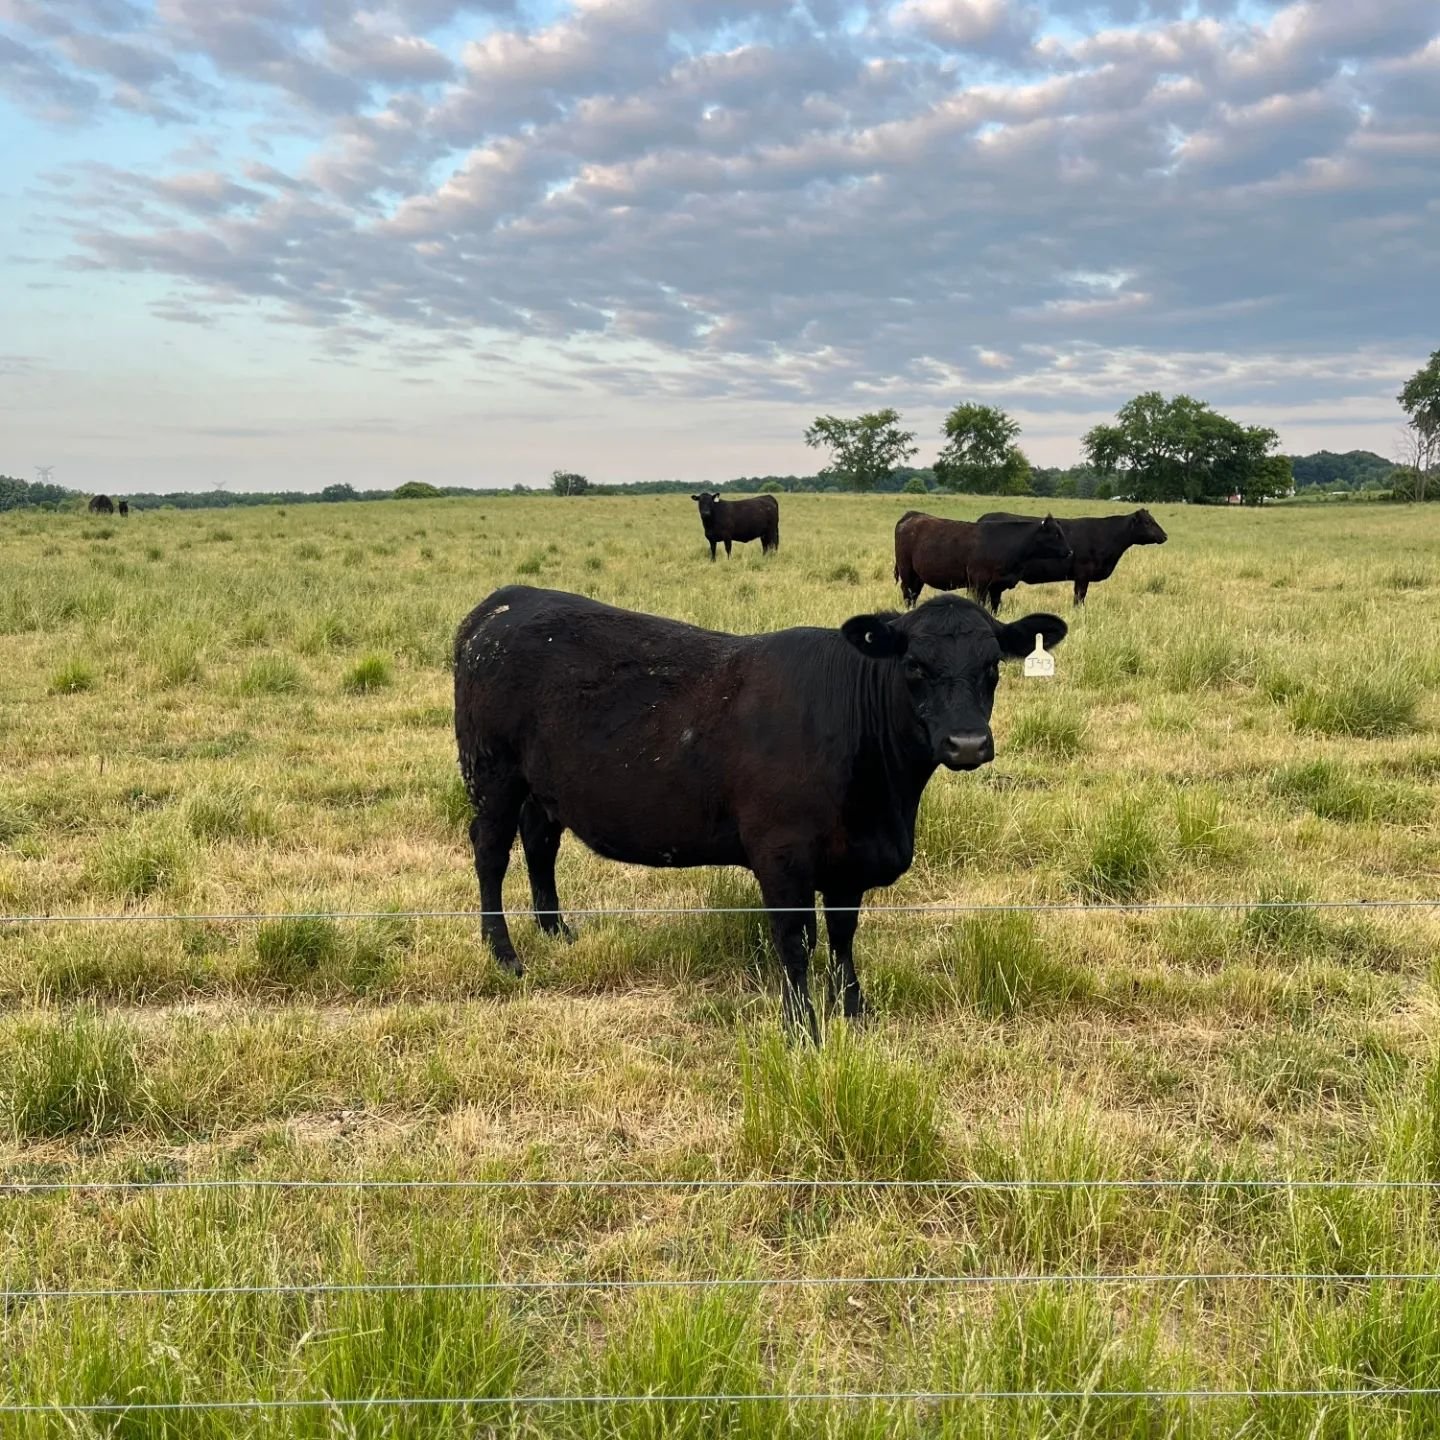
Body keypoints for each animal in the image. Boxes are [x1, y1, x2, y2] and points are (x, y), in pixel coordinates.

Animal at [455, 581, 1065, 1036]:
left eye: (993, 665)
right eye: (914, 665)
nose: (967, 744)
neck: (885, 802)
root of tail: (504, 602)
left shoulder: (850, 860)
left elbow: (842, 935)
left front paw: (854, 1011)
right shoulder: (781, 854)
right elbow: (794, 940)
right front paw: (802, 1030)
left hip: (543, 785)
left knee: (540, 842)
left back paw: (556, 931)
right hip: (492, 773)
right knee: (491, 853)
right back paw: (504, 954)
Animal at [892, 512, 1077, 613]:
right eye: (1056, 534)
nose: (1070, 551)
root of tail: (911, 516)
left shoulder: (997, 586)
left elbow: (994, 607)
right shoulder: (978, 583)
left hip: (918, 576)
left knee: (914, 594)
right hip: (906, 571)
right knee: (908, 593)